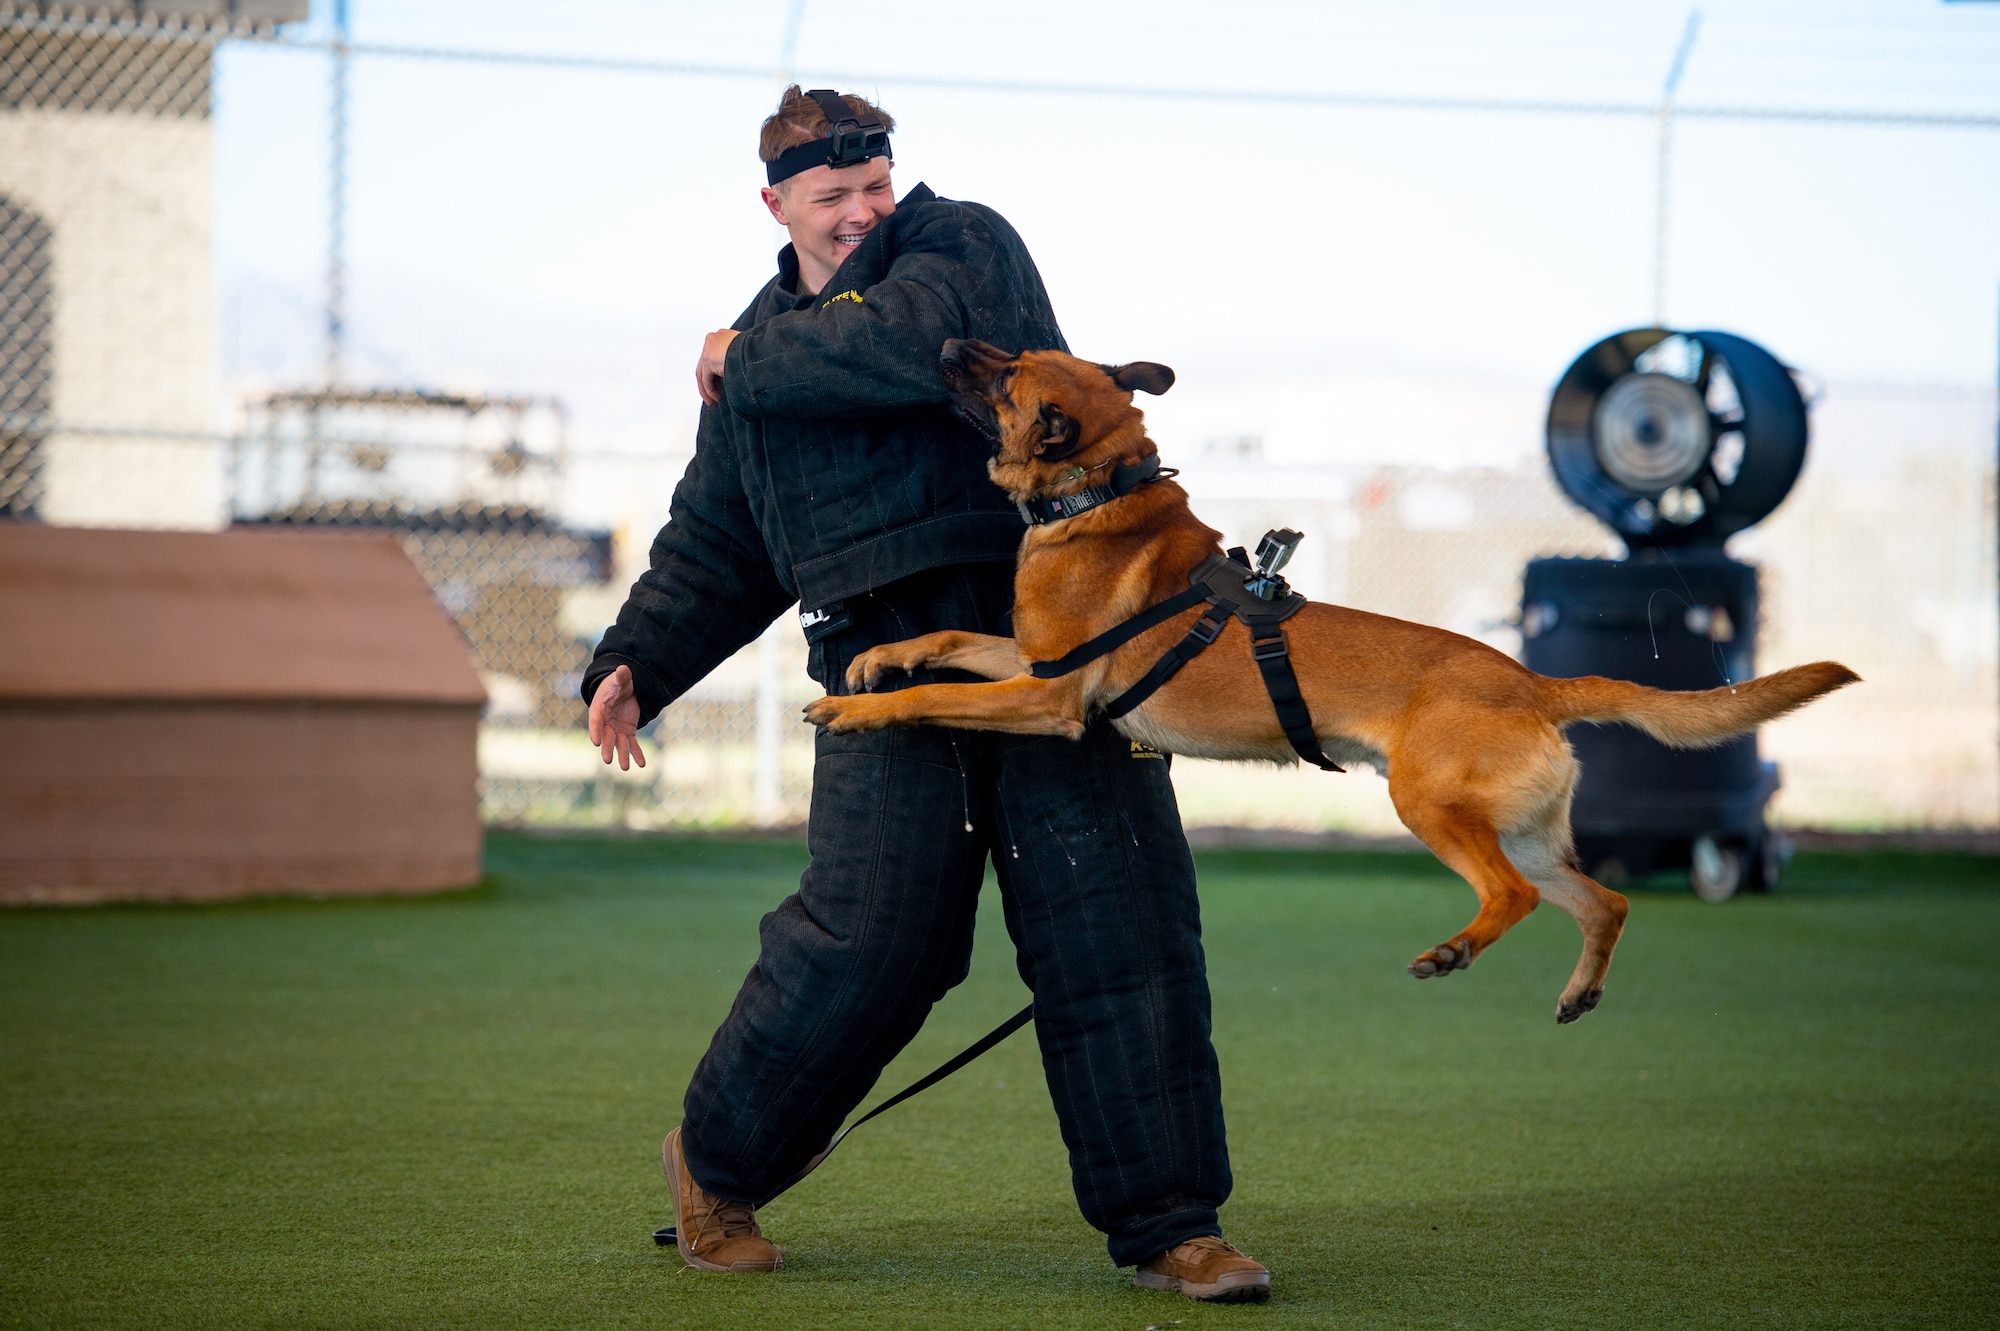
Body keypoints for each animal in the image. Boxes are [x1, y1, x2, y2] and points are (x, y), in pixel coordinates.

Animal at [804, 337, 1864, 1019]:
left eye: (1004, 374)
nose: (948, 336)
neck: (1101, 494)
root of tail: (1535, 684)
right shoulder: (1025, 665)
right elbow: (946, 635)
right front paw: (877, 658)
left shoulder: (1047, 696)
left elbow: (938, 695)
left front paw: (855, 707)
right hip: (1524, 831)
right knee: (1606, 901)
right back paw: (1578, 989)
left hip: (1431, 807)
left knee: (1515, 899)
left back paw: (1453, 951)